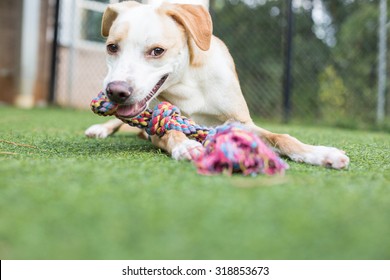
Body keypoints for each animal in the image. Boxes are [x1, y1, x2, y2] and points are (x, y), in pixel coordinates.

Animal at [84, 0, 348, 168]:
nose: (116, 92)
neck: (188, 83)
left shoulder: (241, 122)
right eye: (112, 47)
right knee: (121, 124)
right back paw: (99, 129)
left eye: (157, 51)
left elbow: (282, 137)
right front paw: (187, 146)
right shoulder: (158, 125)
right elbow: (170, 131)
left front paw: (322, 153)